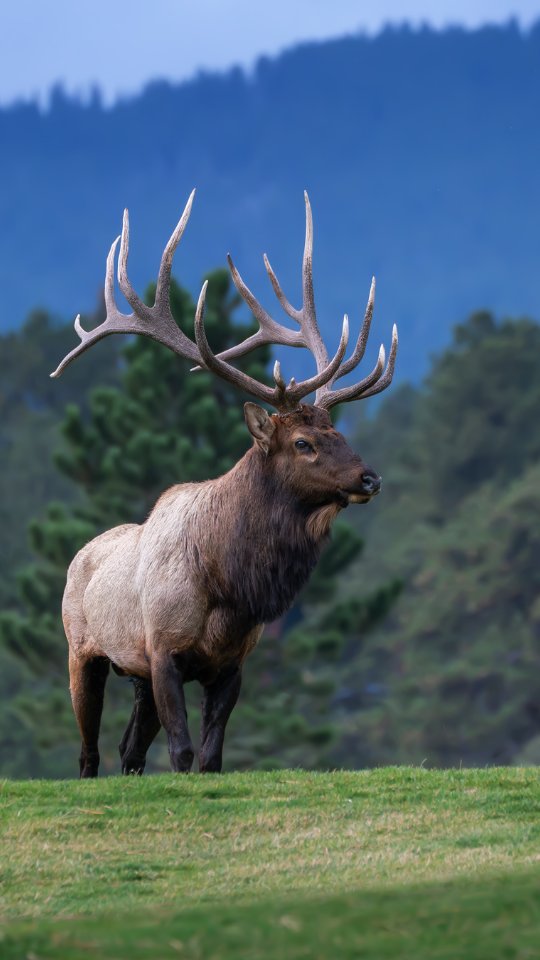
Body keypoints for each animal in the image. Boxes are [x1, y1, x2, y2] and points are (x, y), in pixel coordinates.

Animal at [51, 190, 397, 777]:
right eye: (302, 443)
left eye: (338, 432)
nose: (369, 478)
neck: (229, 586)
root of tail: (79, 556)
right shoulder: (162, 650)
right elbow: (183, 751)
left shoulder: (232, 661)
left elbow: (211, 757)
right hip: (83, 650)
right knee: (89, 749)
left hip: (133, 674)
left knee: (129, 749)